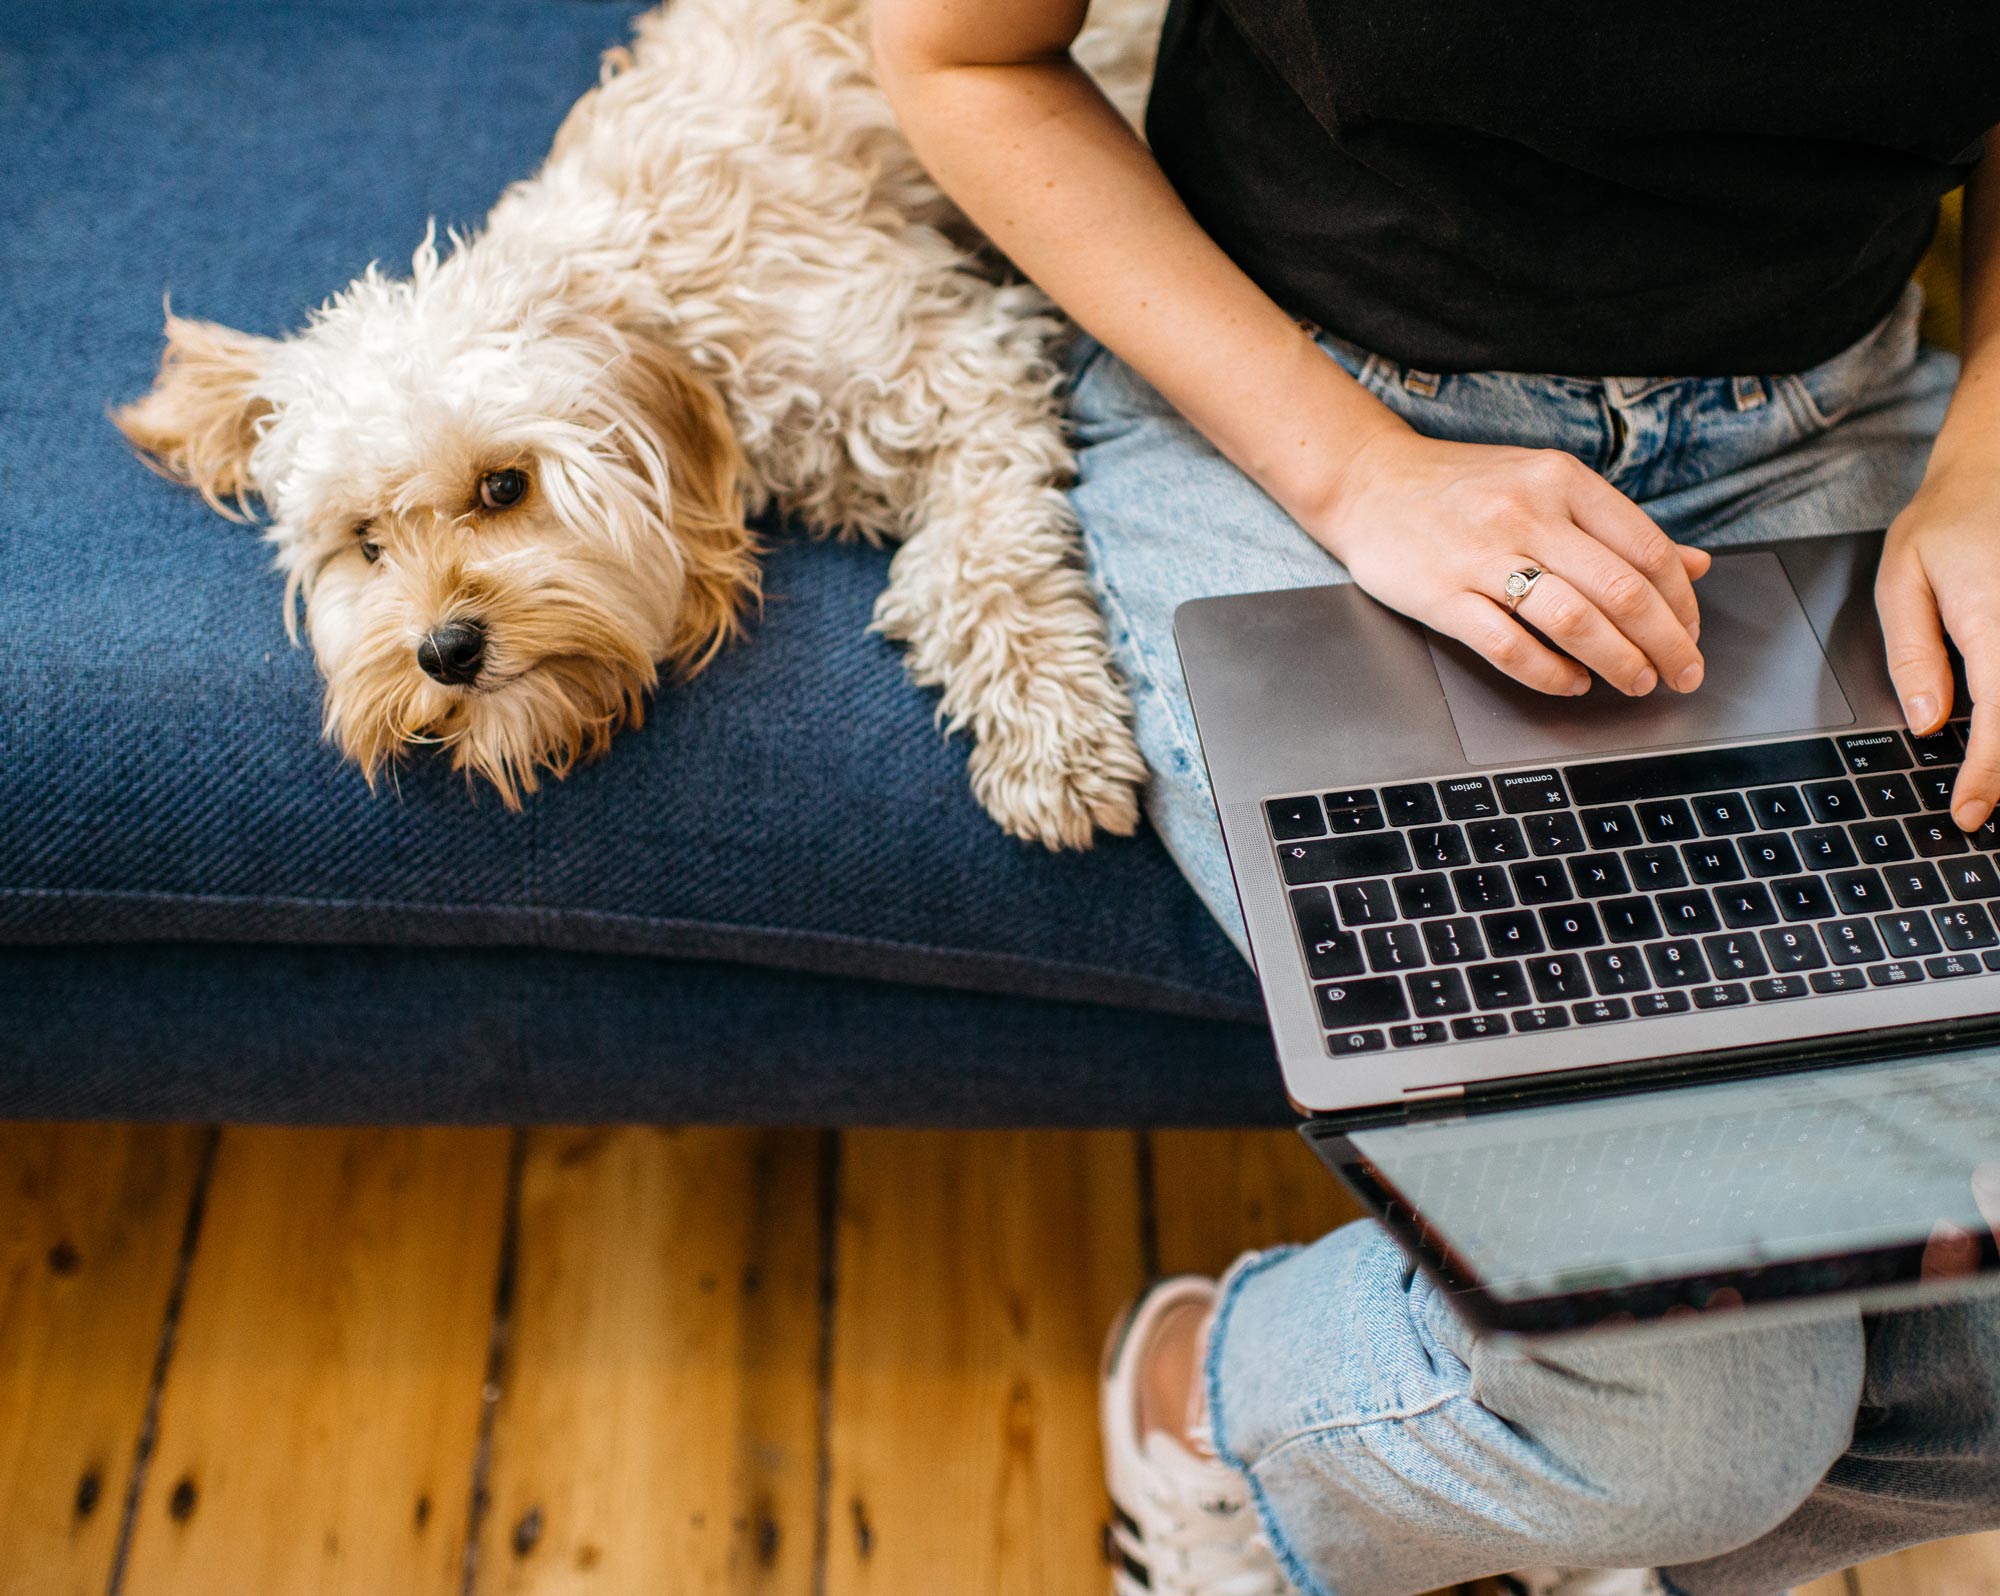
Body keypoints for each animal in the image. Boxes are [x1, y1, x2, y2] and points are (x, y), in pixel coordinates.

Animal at [117, 0, 1160, 848]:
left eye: (504, 485)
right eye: (367, 543)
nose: (443, 652)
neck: (659, 292)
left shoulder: (958, 366)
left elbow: (988, 569)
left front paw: (1052, 743)